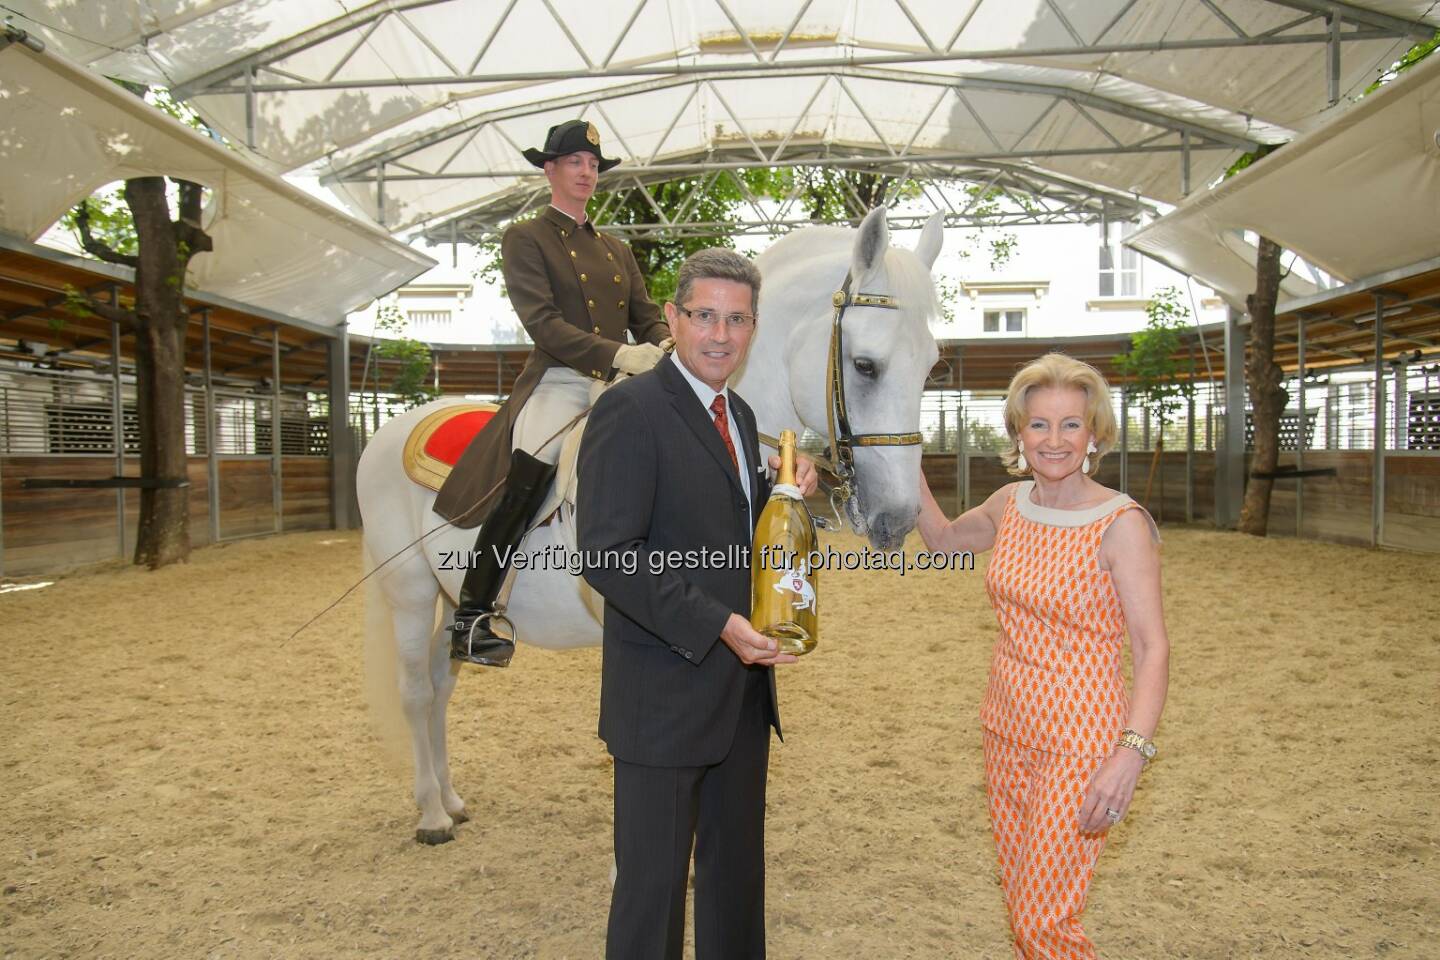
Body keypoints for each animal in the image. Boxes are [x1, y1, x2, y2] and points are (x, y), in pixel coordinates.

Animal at [360, 208, 944, 840]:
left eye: (931, 365)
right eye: (865, 365)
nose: (897, 518)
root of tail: (394, 429)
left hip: (445, 599)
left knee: (442, 685)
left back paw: (451, 797)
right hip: (410, 593)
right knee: (417, 692)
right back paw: (432, 812)